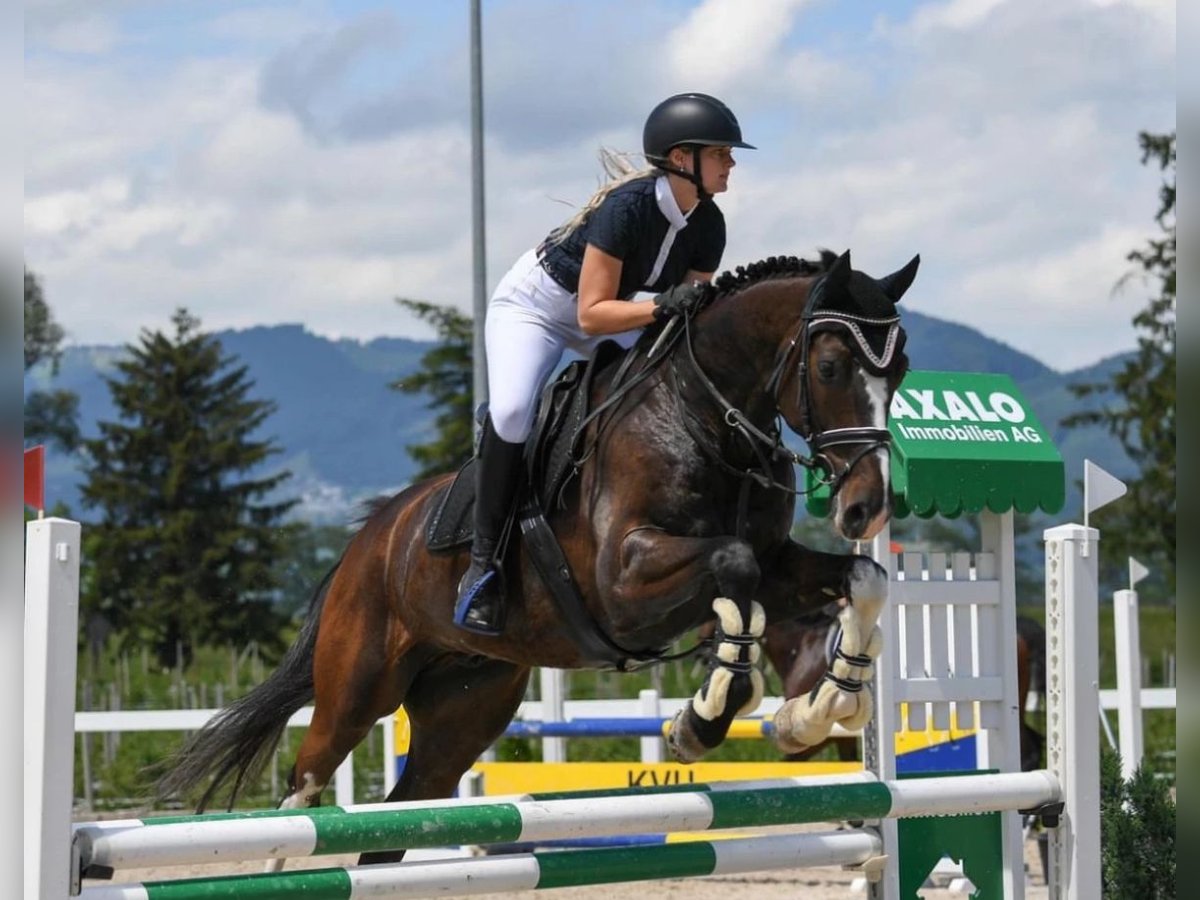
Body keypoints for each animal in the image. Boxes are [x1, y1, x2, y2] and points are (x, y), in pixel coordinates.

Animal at [154, 248, 912, 868]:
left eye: (900, 370)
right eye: (831, 367)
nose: (866, 509)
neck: (705, 419)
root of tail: (365, 541)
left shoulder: (778, 560)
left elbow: (861, 578)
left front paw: (819, 708)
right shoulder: (624, 585)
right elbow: (733, 570)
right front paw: (707, 716)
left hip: (466, 707)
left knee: (405, 815)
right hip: (356, 688)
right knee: (306, 790)